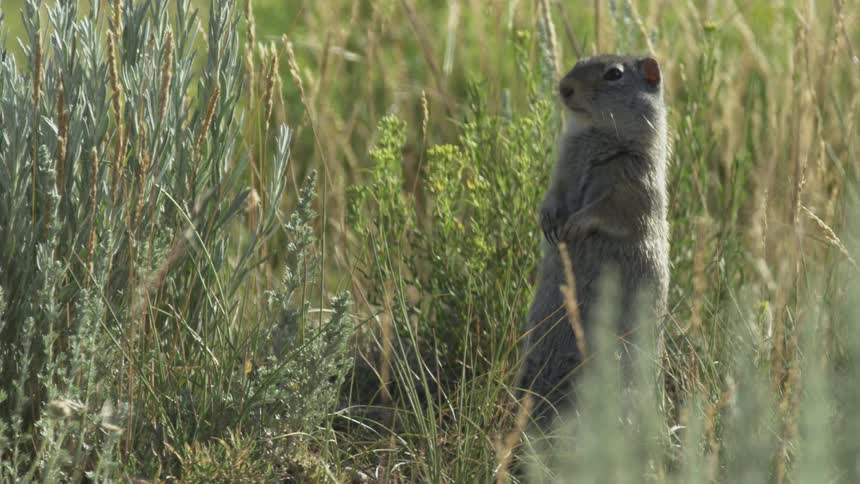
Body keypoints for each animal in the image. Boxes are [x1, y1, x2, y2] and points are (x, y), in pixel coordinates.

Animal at [518, 55, 670, 429]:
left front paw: (573, 226)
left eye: (614, 74)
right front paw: (550, 222)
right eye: (579, 61)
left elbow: (606, 211)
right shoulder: (561, 169)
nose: (563, 87)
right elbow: (552, 196)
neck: (594, 134)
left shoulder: (632, 187)